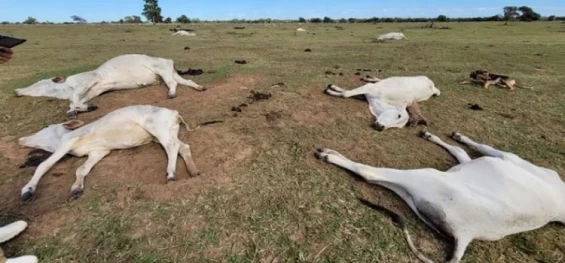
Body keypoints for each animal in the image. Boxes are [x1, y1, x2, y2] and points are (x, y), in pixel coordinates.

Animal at [14, 54, 206, 119]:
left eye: (38, 84)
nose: (16, 91)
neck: (66, 88)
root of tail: (169, 60)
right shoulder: (92, 91)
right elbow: (75, 102)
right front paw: (79, 109)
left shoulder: (90, 80)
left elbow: (74, 99)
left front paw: (78, 109)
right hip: (168, 73)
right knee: (185, 82)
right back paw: (199, 88)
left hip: (163, 70)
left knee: (173, 83)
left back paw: (172, 94)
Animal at [17, 105, 200, 202]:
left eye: (45, 127)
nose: (21, 139)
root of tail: (174, 113)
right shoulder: (99, 152)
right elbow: (81, 170)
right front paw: (76, 188)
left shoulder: (69, 142)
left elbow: (44, 164)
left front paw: (28, 190)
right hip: (167, 133)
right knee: (183, 146)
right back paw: (193, 171)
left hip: (157, 128)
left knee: (171, 147)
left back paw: (171, 174)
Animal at [318, 132, 564, 263]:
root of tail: (467, 234)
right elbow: (460, 151)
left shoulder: (507, 157)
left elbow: (477, 147)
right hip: (415, 195)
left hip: (425, 177)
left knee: (368, 173)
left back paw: (329, 155)